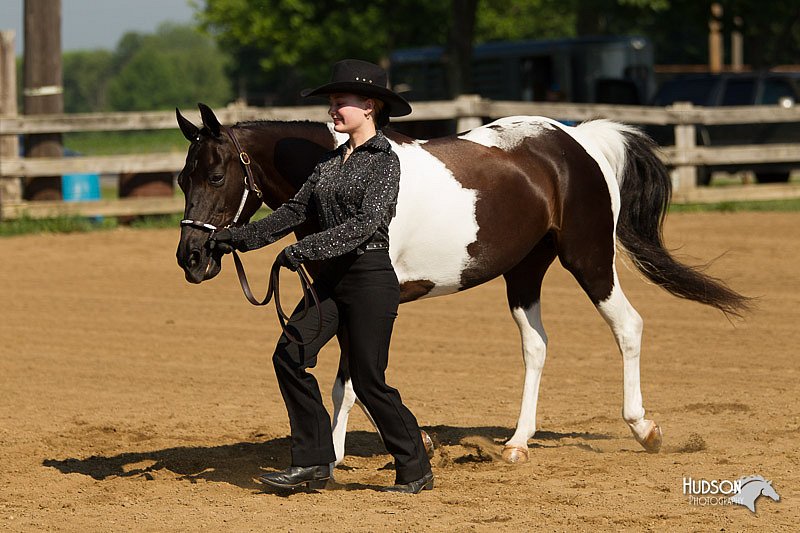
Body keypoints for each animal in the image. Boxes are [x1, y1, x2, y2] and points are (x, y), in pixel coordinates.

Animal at [175, 103, 752, 462]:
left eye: (216, 175)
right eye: (182, 178)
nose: (192, 258)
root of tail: (576, 139)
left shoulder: (368, 297)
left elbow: (354, 377)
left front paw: (340, 455)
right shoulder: (334, 296)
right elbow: (353, 376)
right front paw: (404, 443)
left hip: (589, 260)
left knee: (628, 326)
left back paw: (644, 429)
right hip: (524, 272)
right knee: (537, 346)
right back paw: (517, 443)